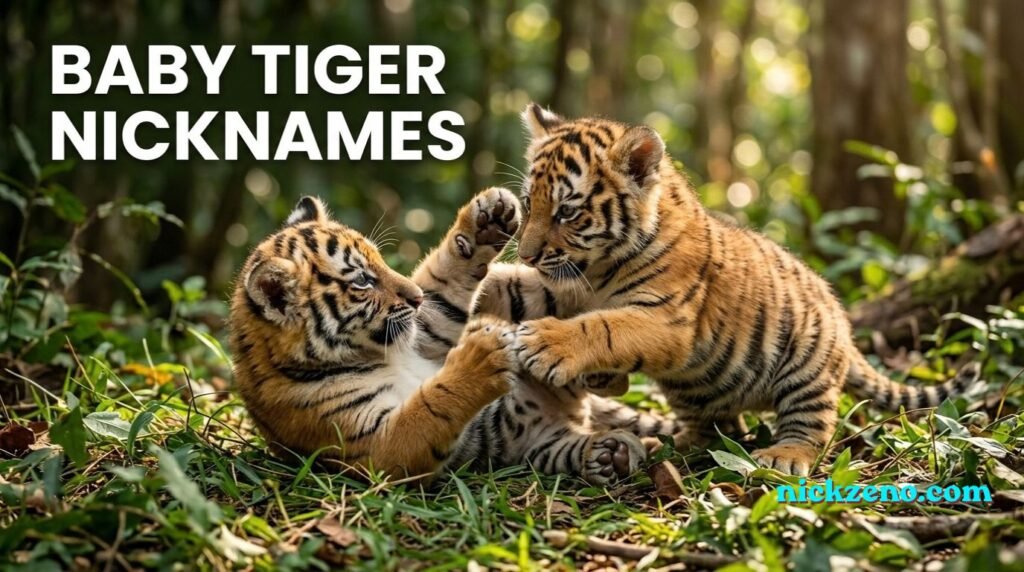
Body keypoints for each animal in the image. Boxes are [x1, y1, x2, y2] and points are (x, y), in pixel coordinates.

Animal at [229, 190, 674, 484]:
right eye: (362, 281)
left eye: (381, 262)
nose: (414, 296)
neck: (376, 354)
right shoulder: (377, 447)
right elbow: (430, 406)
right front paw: (483, 350)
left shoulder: (426, 334)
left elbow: (446, 288)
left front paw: (487, 219)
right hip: (537, 442)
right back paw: (612, 454)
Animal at [468, 104, 980, 476]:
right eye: (530, 202)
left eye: (567, 212)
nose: (528, 254)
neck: (599, 266)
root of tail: (844, 328)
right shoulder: (562, 287)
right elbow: (516, 288)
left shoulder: (668, 319)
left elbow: (607, 326)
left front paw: (545, 343)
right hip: (692, 391)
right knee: (718, 426)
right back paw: (674, 442)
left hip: (807, 366)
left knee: (813, 425)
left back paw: (785, 456)